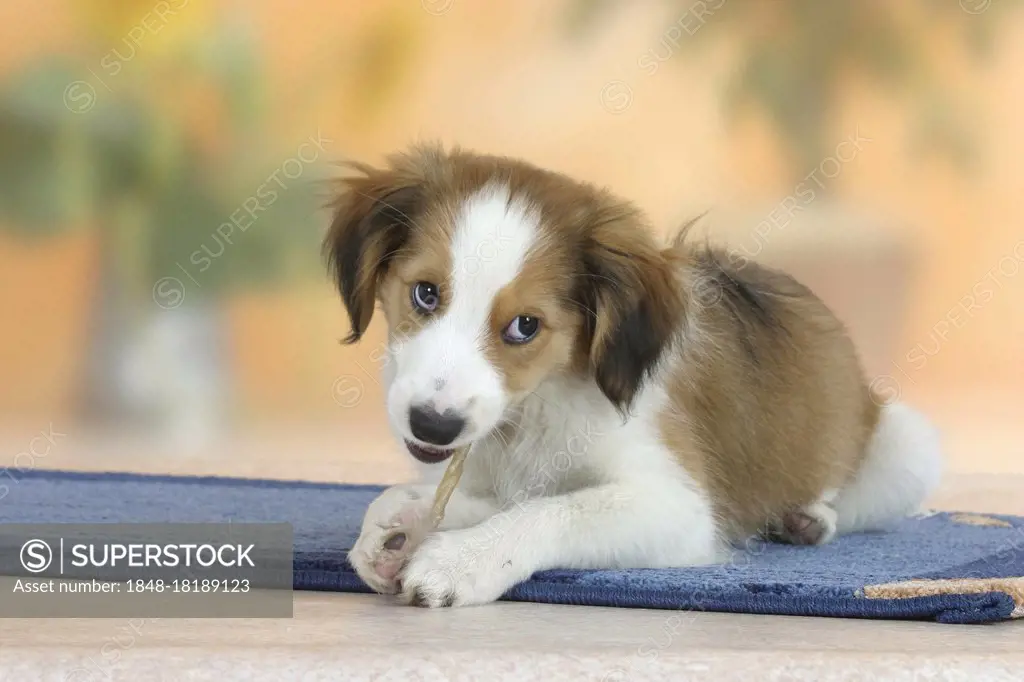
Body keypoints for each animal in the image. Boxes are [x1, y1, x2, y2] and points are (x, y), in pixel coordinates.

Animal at [325, 144, 942, 606]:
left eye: (525, 326)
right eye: (425, 293)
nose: (432, 425)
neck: (537, 407)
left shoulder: (680, 507)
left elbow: (552, 510)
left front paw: (463, 559)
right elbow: (497, 497)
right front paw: (398, 524)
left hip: (908, 445)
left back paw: (807, 518)